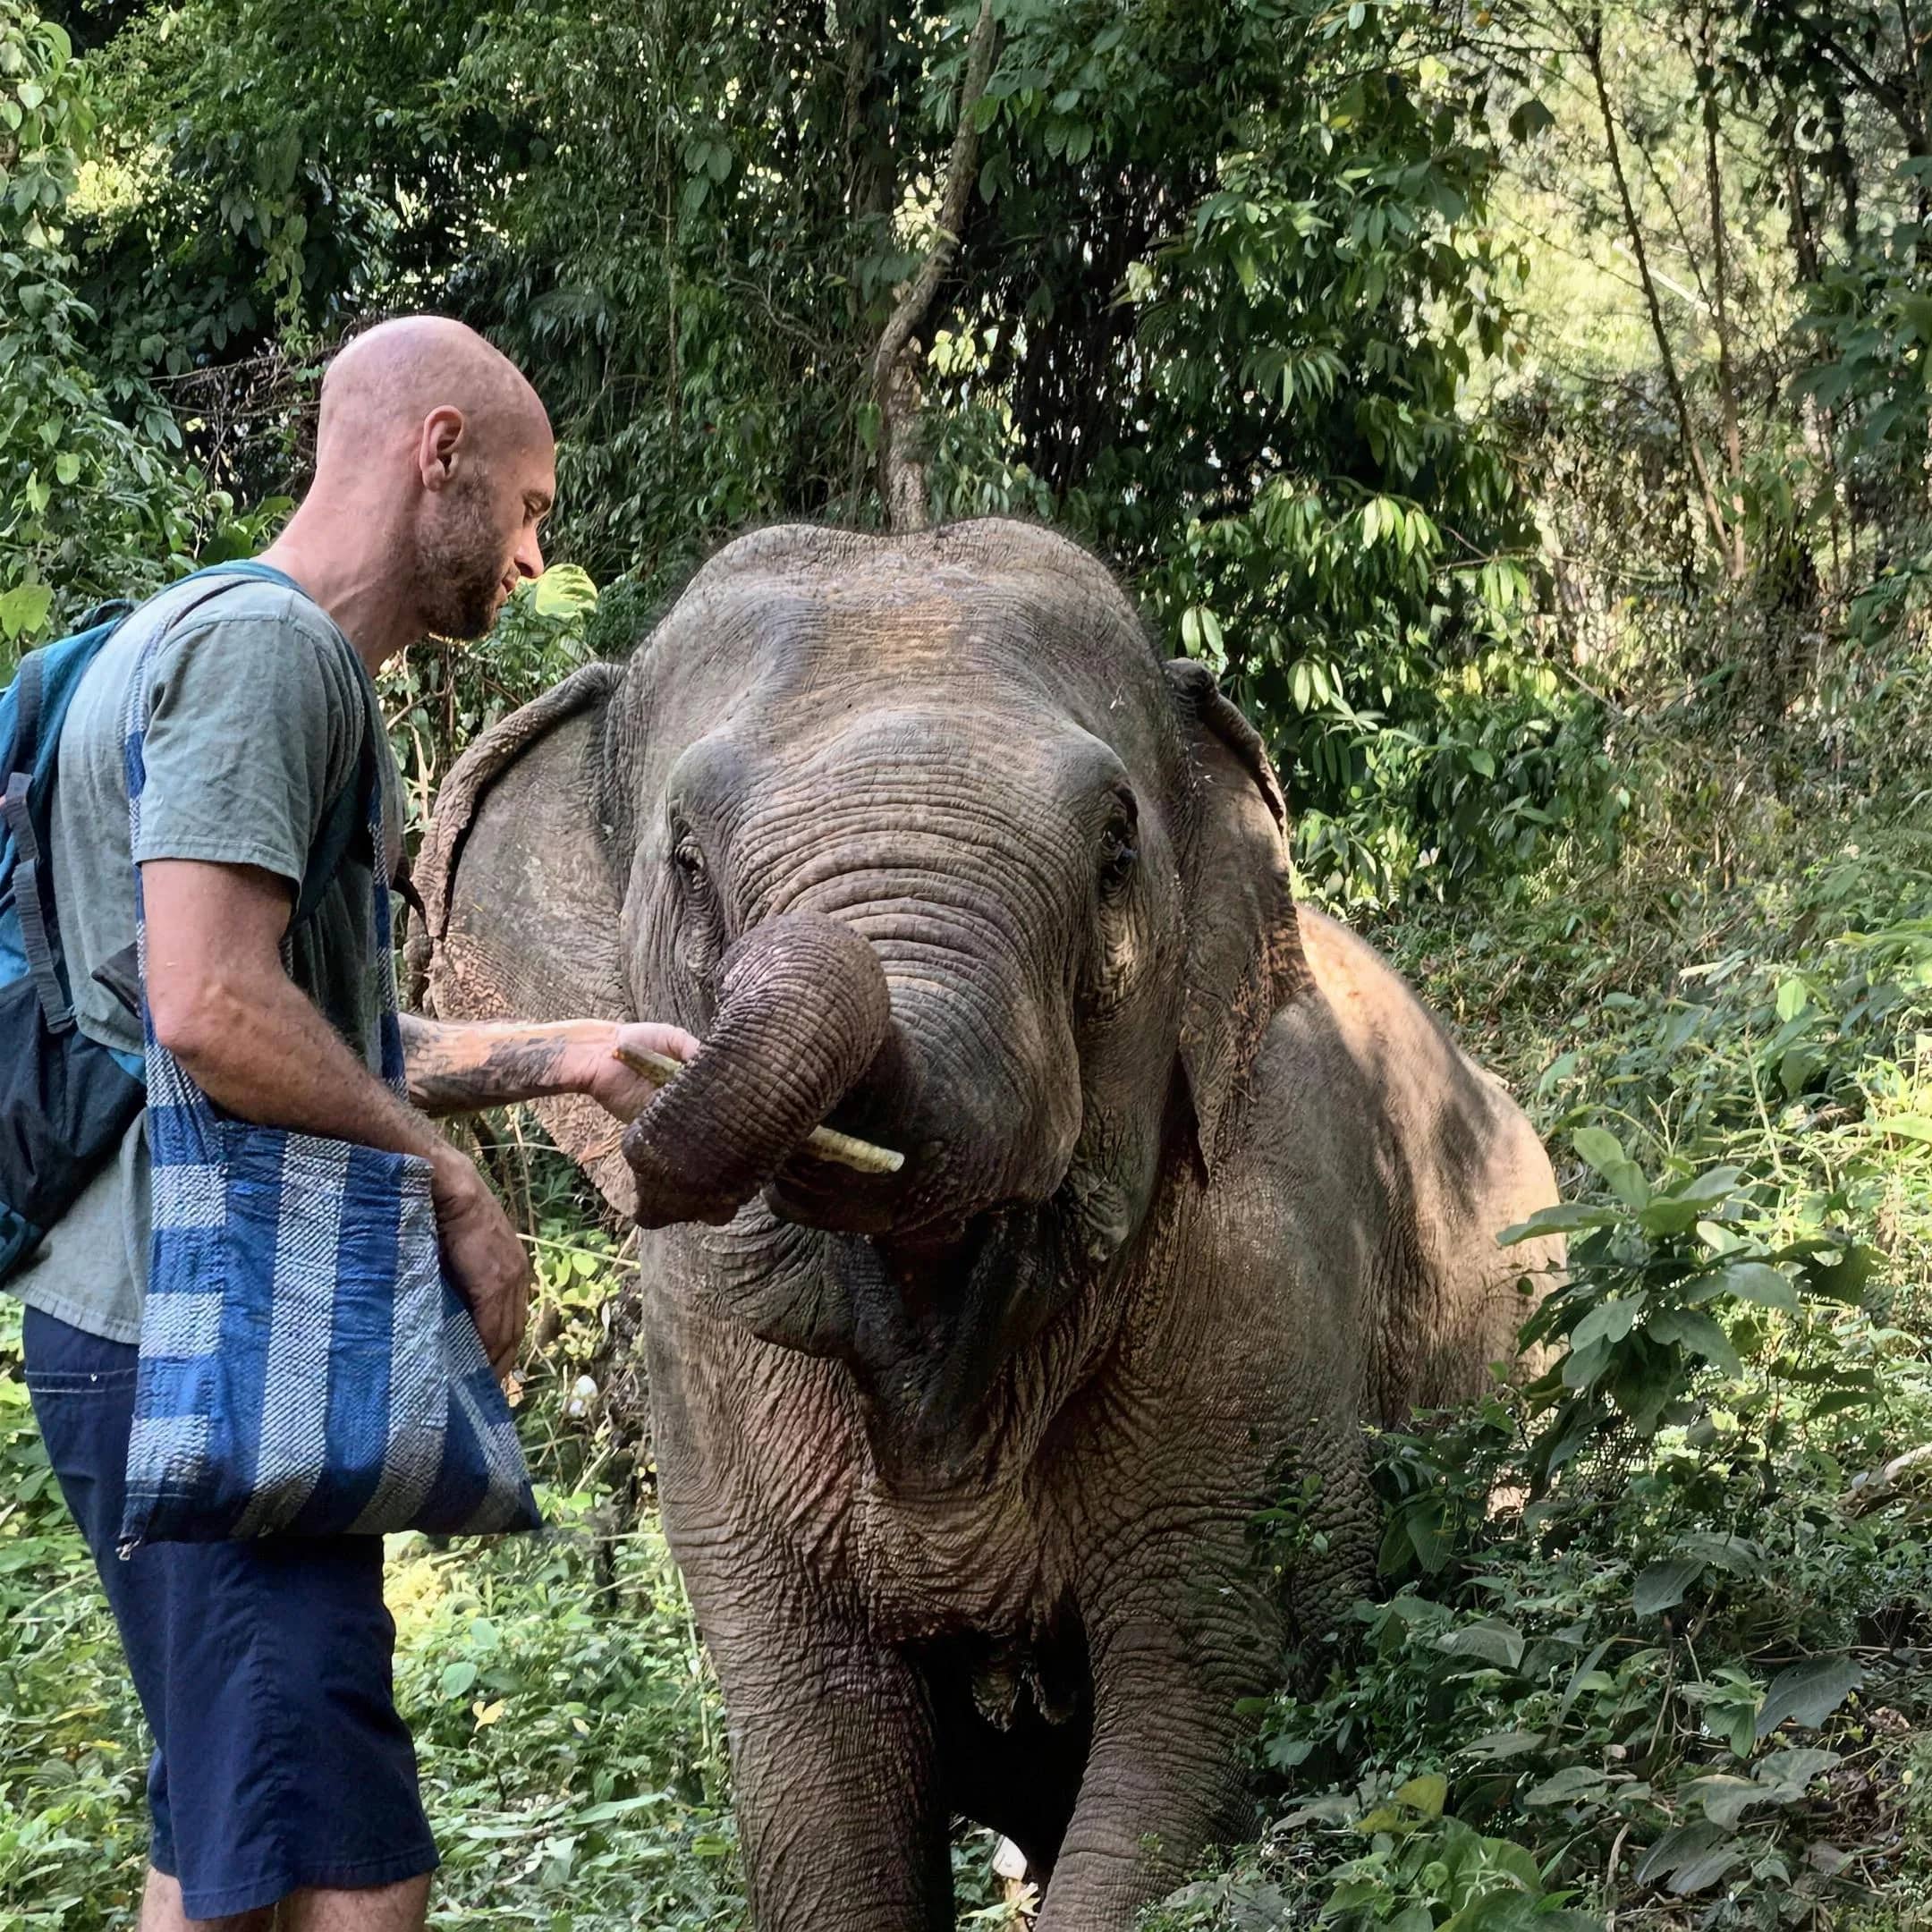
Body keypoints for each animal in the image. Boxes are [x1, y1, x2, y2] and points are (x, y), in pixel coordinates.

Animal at [411, 519, 1562, 1931]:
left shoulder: (1263, 1280)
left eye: (1116, 852)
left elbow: (1205, 1731)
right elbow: (820, 1786)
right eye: (685, 860)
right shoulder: (708, 1373)